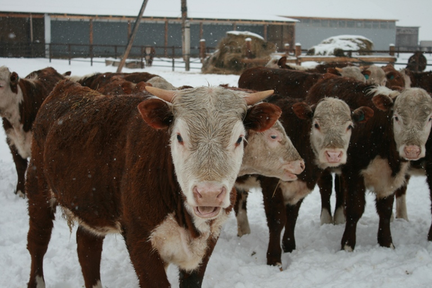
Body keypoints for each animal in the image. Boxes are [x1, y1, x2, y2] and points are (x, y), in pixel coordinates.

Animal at [24, 79, 294, 288]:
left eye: (239, 139)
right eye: (179, 136)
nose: (208, 194)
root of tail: (67, 87)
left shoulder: (207, 242)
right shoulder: (139, 237)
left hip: (92, 203)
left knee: (87, 247)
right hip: (37, 187)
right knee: (38, 241)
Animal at [235, 95, 372, 268]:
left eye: (349, 126)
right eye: (316, 124)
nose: (333, 154)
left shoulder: (299, 188)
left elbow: (292, 218)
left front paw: (289, 247)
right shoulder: (272, 185)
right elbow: (277, 220)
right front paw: (274, 258)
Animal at [308, 75, 432, 251]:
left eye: (429, 118)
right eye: (396, 117)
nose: (412, 150)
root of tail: (328, 77)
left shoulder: (389, 177)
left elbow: (385, 210)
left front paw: (386, 243)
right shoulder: (355, 173)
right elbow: (355, 208)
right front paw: (347, 245)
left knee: (340, 189)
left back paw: (339, 219)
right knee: (325, 188)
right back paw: (326, 220)